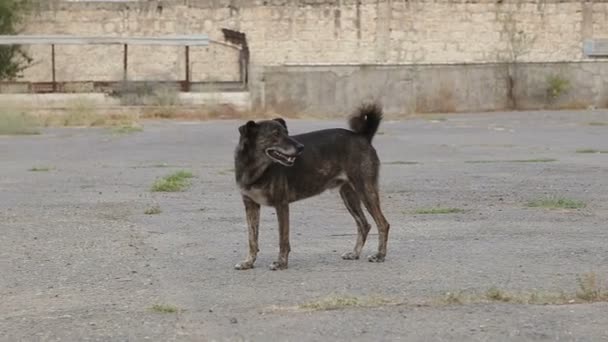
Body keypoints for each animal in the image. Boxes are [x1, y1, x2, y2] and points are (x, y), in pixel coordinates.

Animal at [233, 102, 390, 270]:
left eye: (286, 133)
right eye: (275, 135)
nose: (300, 147)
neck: (255, 167)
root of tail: (363, 136)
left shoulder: (281, 205)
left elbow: (283, 239)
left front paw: (281, 263)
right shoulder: (250, 205)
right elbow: (252, 238)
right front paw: (248, 262)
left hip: (365, 190)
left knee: (383, 224)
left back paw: (380, 255)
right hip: (349, 195)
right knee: (364, 224)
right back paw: (354, 253)